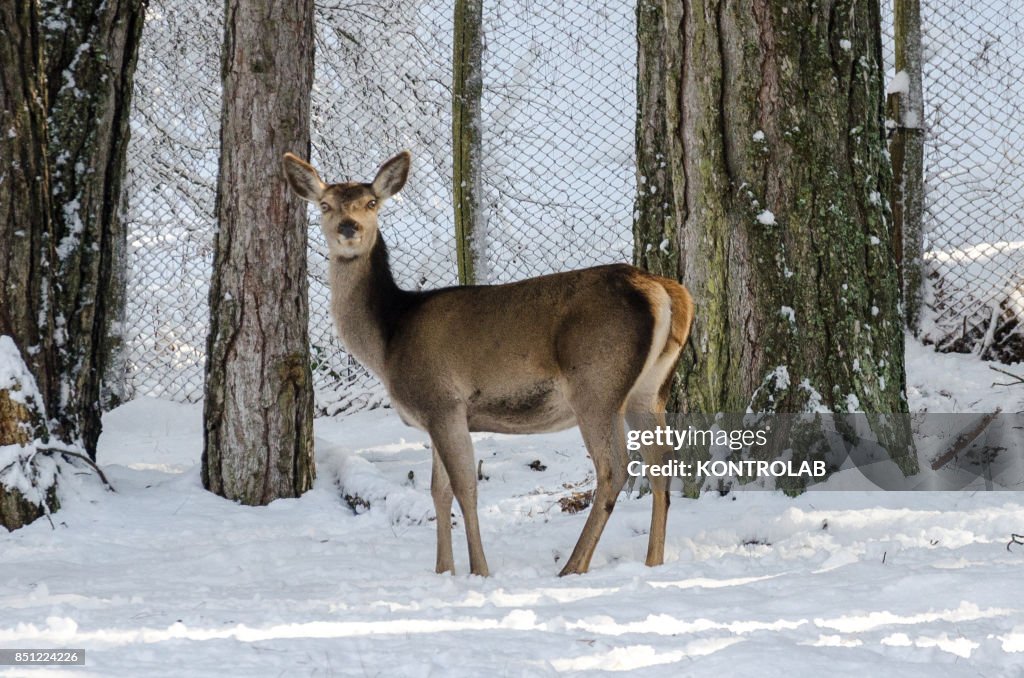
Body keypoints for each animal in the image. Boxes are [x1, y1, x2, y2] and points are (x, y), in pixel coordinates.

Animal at [282, 150, 694, 577]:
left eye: (371, 203)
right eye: (325, 205)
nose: (348, 228)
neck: (388, 340)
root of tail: (665, 292)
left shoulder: (441, 401)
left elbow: (465, 488)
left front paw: (479, 570)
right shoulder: (439, 415)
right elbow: (439, 490)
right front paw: (443, 570)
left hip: (596, 382)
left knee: (614, 467)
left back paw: (573, 566)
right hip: (650, 389)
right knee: (662, 463)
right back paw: (653, 562)